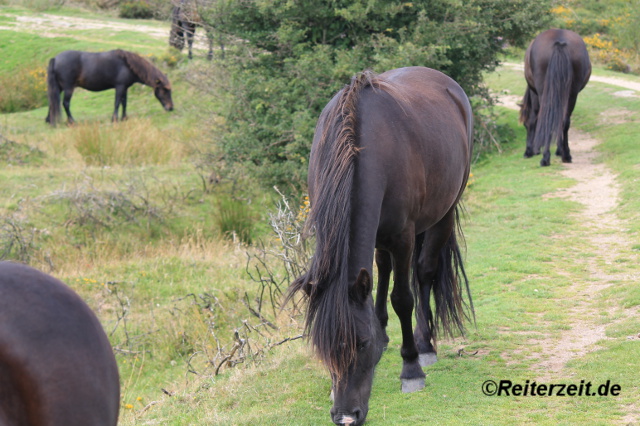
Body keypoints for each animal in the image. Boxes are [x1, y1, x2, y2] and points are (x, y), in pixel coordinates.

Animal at [45, 49, 174, 126]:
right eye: (165, 91)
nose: (171, 108)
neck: (127, 65)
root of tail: (55, 58)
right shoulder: (120, 87)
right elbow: (117, 103)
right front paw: (115, 119)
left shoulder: (125, 88)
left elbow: (124, 103)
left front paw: (124, 118)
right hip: (68, 89)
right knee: (65, 104)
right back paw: (72, 121)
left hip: (59, 88)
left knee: (52, 102)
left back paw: (49, 120)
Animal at [284, 67, 476, 426]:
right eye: (323, 349)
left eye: (361, 344)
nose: (346, 417)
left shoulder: (403, 237)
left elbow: (403, 298)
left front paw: (411, 369)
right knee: (381, 268)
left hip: (443, 213)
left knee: (424, 273)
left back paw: (424, 345)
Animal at [520, 28, 592, 166]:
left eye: (525, 125)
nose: (531, 151)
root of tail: (559, 41)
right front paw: (559, 150)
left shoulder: (534, 93)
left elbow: (534, 118)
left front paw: (530, 151)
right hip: (572, 94)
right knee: (564, 121)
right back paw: (566, 155)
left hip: (543, 93)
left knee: (546, 118)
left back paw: (545, 158)